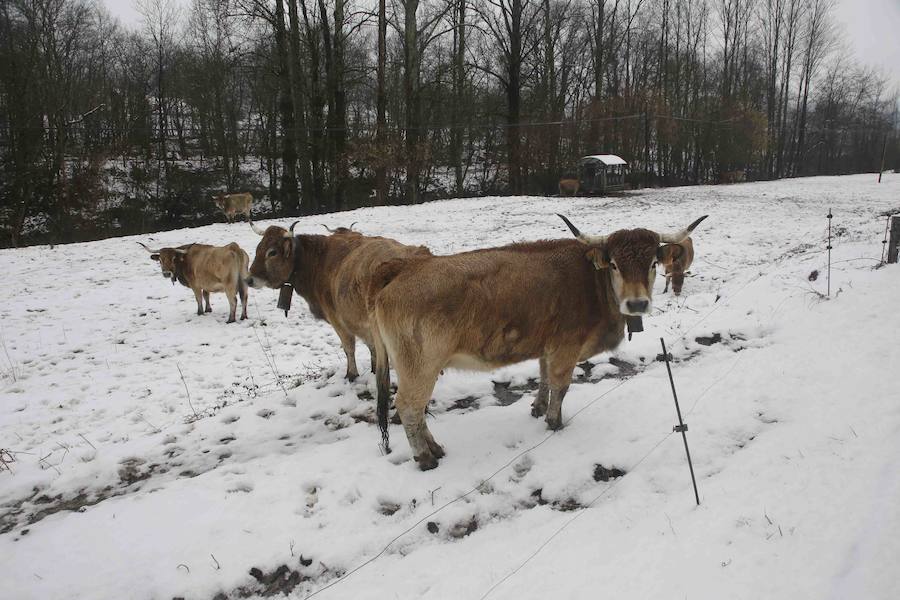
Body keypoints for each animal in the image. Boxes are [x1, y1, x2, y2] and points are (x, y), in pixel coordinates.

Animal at [244, 218, 430, 382]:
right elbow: (372, 348)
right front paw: (372, 369)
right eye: (258, 248)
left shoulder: (338, 320)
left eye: (272, 252)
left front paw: (351, 374)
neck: (319, 261)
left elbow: (349, 347)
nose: (248, 279)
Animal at [370, 213, 708, 472]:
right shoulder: (566, 348)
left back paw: (434, 447)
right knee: (409, 407)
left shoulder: (549, 345)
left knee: (416, 409)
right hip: (420, 365)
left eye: (652, 263)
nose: (637, 304)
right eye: (614, 265)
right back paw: (425, 457)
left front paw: (538, 407)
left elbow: (544, 377)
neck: (593, 284)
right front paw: (554, 421)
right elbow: (561, 385)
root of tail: (403, 269)